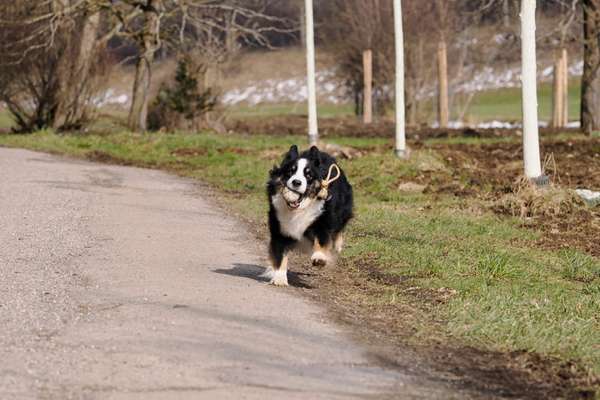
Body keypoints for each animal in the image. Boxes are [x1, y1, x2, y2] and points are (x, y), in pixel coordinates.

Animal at [266, 145, 352, 286]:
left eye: (309, 175)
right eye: (290, 172)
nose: (296, 182)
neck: (297, 210)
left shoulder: (322, 218)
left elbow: (322, 237)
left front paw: (319, 257)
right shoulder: (280, 225)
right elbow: (280, 253)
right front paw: (279, 278)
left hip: (343, 207)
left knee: (339, 226)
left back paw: (337, 246)